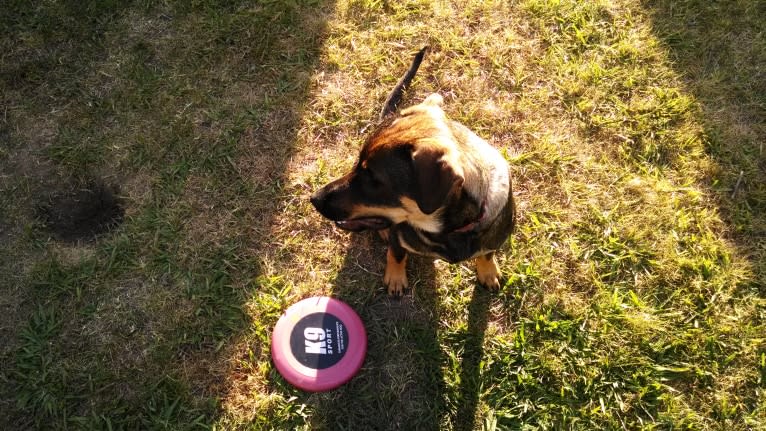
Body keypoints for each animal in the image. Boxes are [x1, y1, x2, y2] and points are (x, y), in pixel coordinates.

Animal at [310, 47, 516, 296]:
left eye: (373, 179)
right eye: (358, 164)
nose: (314, 198)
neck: (449, 231)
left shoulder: (494, 240)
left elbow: (487, 254)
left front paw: (488, 272)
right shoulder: (399, 238)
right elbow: (397, 253)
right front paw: (396, 278)